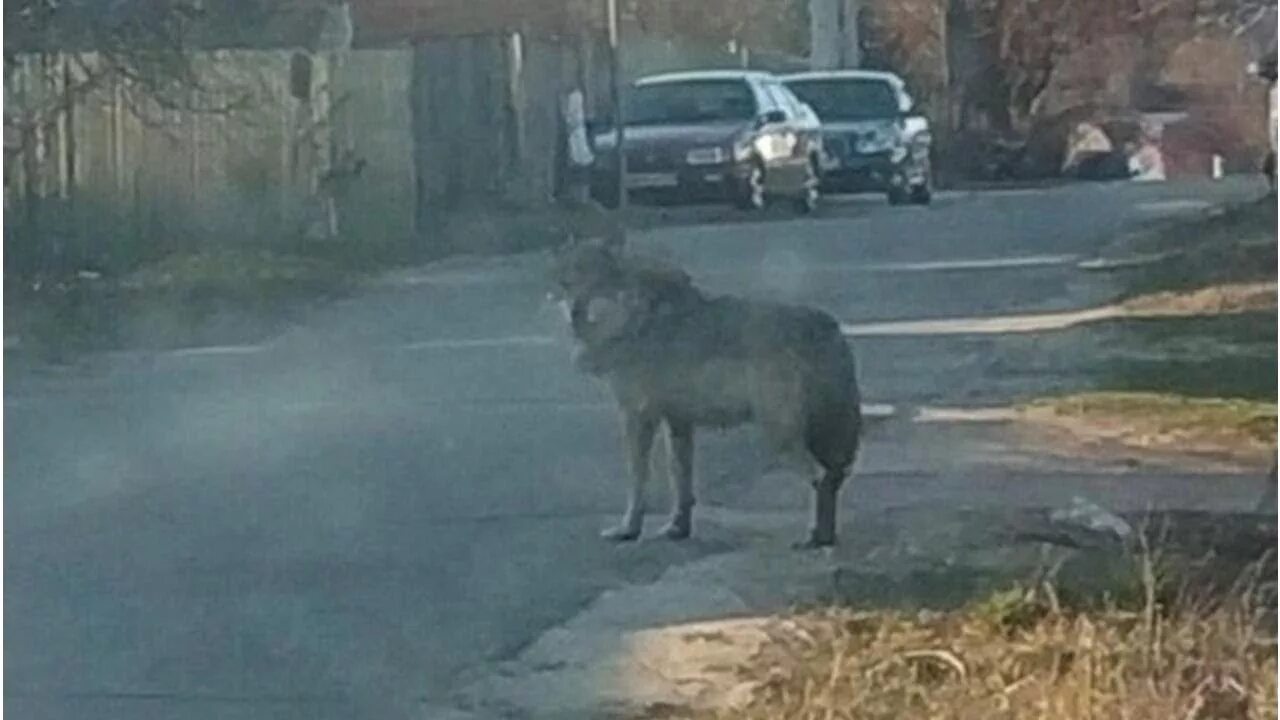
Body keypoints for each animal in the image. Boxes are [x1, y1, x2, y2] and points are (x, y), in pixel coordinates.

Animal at [550, 238, 860, 545]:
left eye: (582, 274)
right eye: (565, 273)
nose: (556, 291)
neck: (633, 315)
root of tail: (828, 325)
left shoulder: (636, 415)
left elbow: (637, 479)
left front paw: (628, 530)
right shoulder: (678, 422)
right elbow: (680, 480)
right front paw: (677, 529)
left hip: (779, 436)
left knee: (821, 476)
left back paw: (815, 537)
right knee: (833, 476)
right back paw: (825, 537)